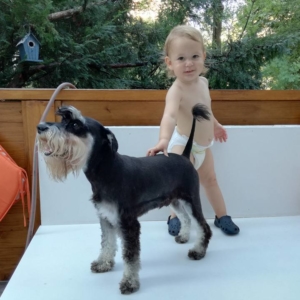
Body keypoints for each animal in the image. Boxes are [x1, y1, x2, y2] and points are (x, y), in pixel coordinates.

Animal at [37, 103, 211, 292]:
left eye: (76, 124)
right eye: (63, 119)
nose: (40, 127)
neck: (108, 170)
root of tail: (185, 157)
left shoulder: (129, 224)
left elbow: (130, 256)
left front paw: (130, 282)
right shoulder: (105, 217)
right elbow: (107, 242)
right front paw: (103, 263)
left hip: (191, 200)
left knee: (203, 226)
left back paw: (198, 251)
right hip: (176, 201)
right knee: (186, 218)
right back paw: (184, 236)